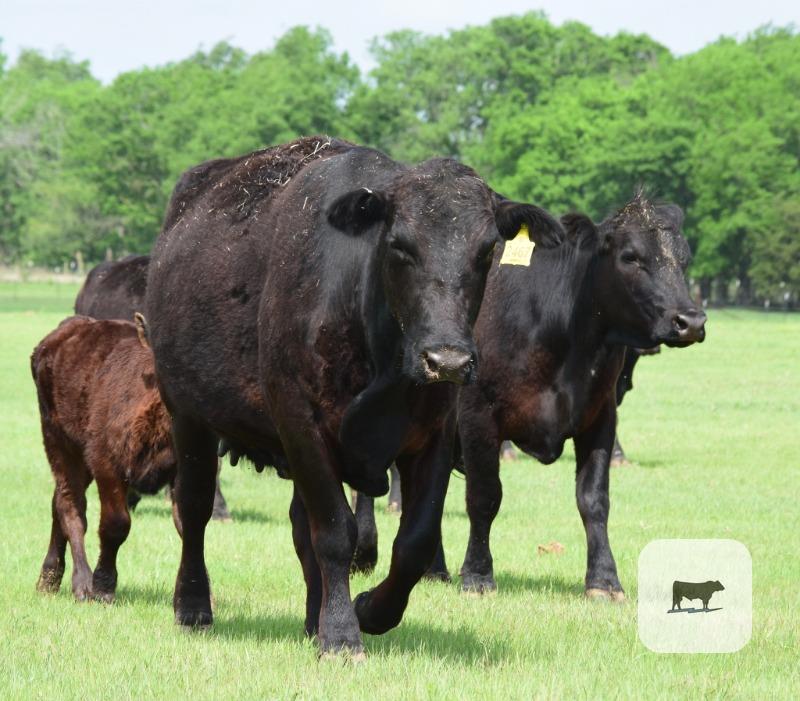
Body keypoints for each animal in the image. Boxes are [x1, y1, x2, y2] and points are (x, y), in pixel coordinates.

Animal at [32, 316, 178, 603]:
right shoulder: (107, 465)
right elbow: (115, 524)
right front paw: (103, 587)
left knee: (58, 502)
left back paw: (49, 579)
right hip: (59, 442)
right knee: (70, 505)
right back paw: (81, 582)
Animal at [144, 135, 564, 656]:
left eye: (487, 250)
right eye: (399, 245)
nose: (446, 360)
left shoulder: (436, 434)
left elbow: (414, 542)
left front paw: (367, 611)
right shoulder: (300, 423)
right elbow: (334, 532)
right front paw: (343, 635)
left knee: (298, 525)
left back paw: (313, 619)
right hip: (188, 416)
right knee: (195, 507)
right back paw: (194, 606)